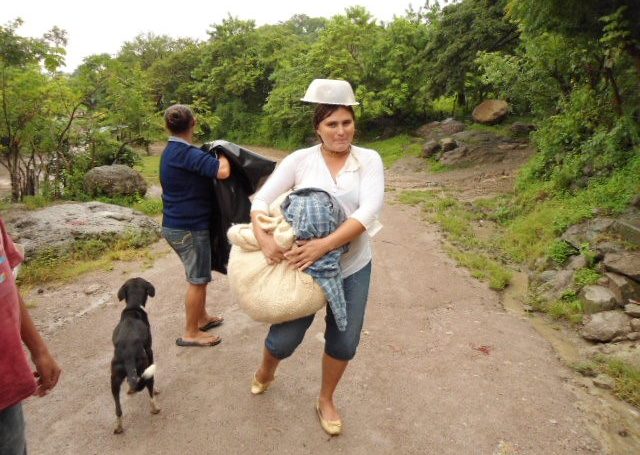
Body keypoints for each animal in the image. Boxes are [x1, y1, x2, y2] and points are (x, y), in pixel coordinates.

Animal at [111, 277, 159, 434]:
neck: (133, 307)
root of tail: (128, 353)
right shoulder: (149, 349)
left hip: (114, 380)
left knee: (118, 409)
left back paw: (119, 427)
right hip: (145, 363)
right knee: (149, 389)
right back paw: (155, 407)